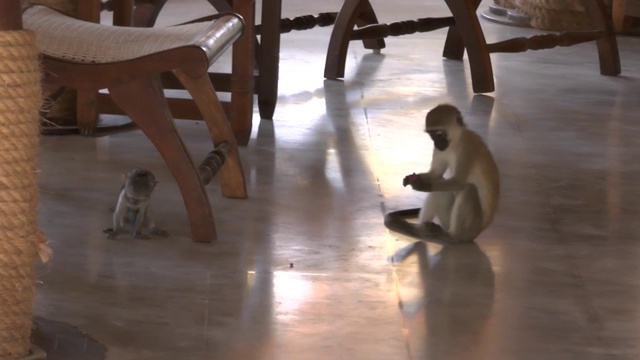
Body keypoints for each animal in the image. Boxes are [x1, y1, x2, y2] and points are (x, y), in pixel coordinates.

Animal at [384, 104, 500, 245]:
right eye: (431, 135)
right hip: (447, 221)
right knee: (440, 188)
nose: (437, 143)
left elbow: (459, 181)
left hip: (472, 229)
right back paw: (420, 229)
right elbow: (435, 174)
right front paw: (411, 178)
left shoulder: (467, 146)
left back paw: (453, 236)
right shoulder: (441, 150)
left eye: (439, 134)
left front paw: (423, 186)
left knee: (468, 189)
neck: (456, 141)